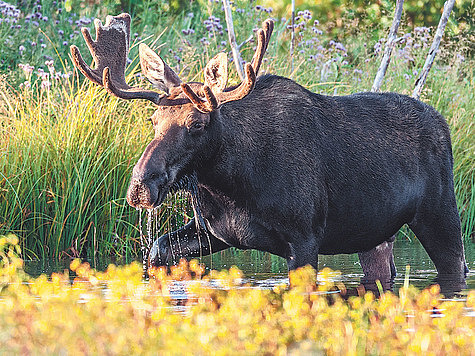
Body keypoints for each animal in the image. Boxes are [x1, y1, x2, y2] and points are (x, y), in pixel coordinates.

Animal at [70, 13, 468, 292]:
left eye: (196, 123)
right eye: (153, 119)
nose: (141, 186)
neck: (231, 182)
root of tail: (443, 123)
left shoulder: (305, 236)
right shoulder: (215, 230)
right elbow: (157, 251)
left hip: (440, 212)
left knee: (457, 267)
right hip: (374, 234)